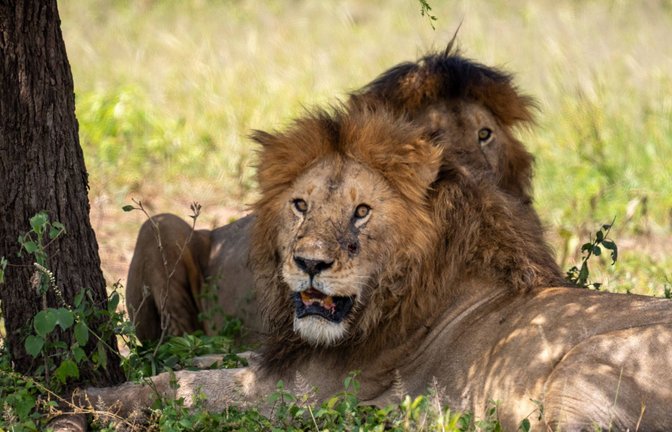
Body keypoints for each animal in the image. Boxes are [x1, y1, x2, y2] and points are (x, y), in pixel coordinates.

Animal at [89, 102, 672, 431]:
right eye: (300, 205)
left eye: (362, 212)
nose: (309, 263)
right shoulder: (280, 358)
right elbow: (204, 358)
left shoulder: (307, 393)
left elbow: (182, 383)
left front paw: (93, 397)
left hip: (582, 368)